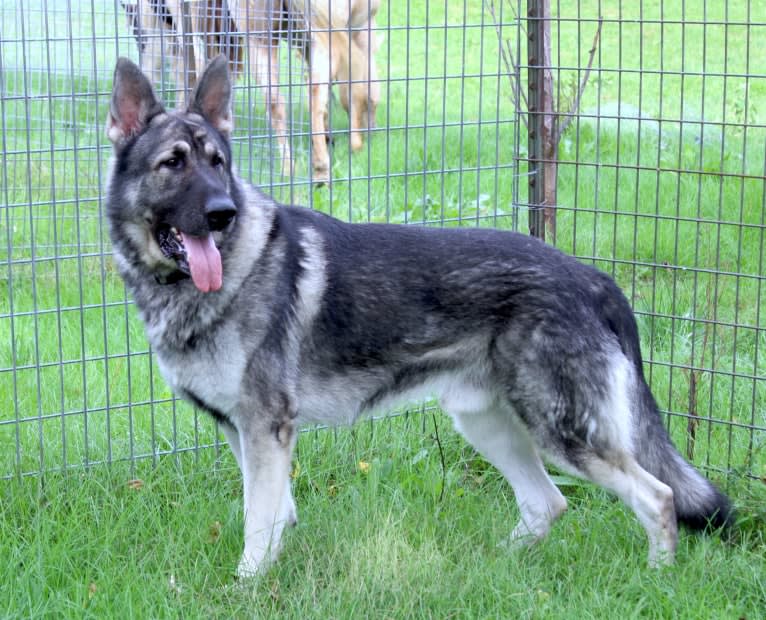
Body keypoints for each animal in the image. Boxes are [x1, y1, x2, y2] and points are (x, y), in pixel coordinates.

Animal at [103, 55, 732, 580]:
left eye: (218, 163)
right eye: (173, 163)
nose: (223, 212)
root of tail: (594, 279)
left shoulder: (264, 430)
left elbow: (259, 520)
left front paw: (247, 586)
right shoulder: (245, 433)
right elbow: (276, 514)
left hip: (562, 434)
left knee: (657, 497)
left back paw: (657, 577)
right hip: (487, 425)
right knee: (547, 503)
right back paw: (490, 568)